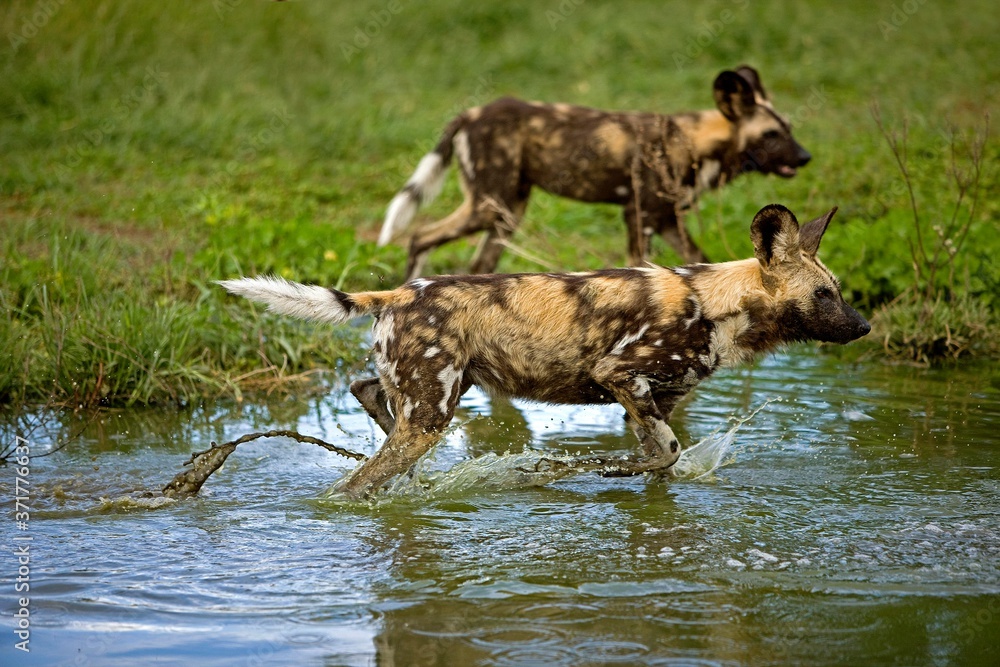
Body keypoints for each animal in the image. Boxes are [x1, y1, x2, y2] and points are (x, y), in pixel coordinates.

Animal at [221, 204, 868, 500]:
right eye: (825, 294)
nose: (863, 326)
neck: (715, 303)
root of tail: (401, 290)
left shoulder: (651, 401)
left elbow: (664, 459)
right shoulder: (621, 374)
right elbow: (665, 453)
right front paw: (578, 471)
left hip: (434, 394)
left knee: (367, 394)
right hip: (432, 412)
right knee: (354, 483)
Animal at [378, 65, 808, 280]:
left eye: (789, 128)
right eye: (771, 135)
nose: (805, 157)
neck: (695, 141)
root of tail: (470, 113)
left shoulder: (666, 219)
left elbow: (698, 262)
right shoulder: (640, 216)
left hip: (507, 212)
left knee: (476, 264)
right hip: (488, 206)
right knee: (419, 237)